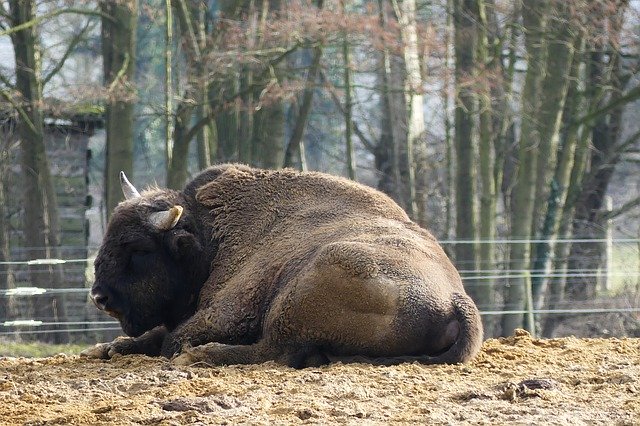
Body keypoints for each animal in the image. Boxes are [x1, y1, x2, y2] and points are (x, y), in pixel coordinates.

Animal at [86, 163, 484, 366]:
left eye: (139, 249)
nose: (99, 297)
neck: (209, 235)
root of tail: (456, 298)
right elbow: (157, 334)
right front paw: (108, 347)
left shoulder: (228, 309)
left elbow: (172, 338)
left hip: (302, 290)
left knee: (276, 350)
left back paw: (200, 355)